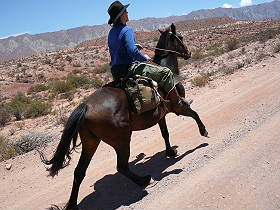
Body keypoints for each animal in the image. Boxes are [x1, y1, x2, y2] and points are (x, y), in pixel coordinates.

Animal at [40, 23, 208, 210]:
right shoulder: (178, 107)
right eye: (181, 38)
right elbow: (194, 113)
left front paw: (171, 151)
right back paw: (144, 180)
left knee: (79, 172)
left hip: (91, 143)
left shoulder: (160, 115)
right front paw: (203, 132)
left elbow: (165, 133)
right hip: (121, 139)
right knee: (121, 166)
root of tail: (86, 106)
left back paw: (73, 205)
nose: (188, 53)